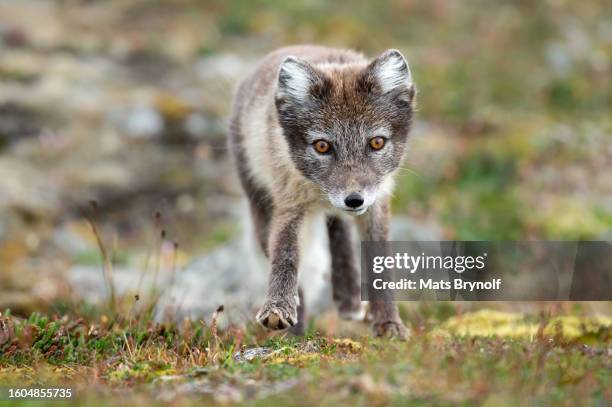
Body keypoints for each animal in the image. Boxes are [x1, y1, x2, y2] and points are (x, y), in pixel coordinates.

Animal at [228, 45, 416, 338]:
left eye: (376, 143)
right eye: (322, 146)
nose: (354, 200)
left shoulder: (377, 201)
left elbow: (380, 262)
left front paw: (389, 323)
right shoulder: (290, 201)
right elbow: (286, 254)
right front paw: (280, 310)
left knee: (339, 226)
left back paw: (349, 298)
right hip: (259, 202)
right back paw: (300, 325)